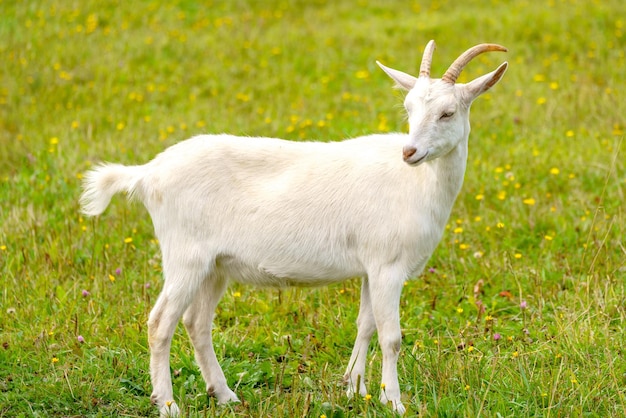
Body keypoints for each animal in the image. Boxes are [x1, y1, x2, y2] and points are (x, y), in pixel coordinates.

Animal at [79, 40, 508, 414]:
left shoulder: (370, 267)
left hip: (214, 266)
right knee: (160, 323)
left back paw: (225, 395)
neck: (417, 184)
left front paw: (355, 388)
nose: (410, 152)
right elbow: (391, 337)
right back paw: (168, 405)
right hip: (185, 256)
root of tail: (148, 173)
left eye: (447, 113)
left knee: (196, 323)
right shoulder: (388, 266)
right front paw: (394, 402)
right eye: (408, 108)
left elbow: (365, 325)